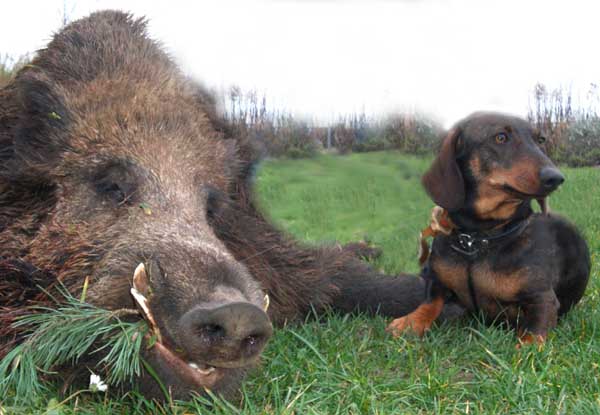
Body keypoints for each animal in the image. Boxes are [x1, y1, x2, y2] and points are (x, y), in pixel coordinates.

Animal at [387, 112, 591, 347]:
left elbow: (532, 336)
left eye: (541, 140)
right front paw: (409, 322)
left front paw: (524, 349)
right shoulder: (437, 280)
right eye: (500, 137)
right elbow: (430, 302)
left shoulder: (542, 299)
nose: (556, 178)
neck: (476, 238)